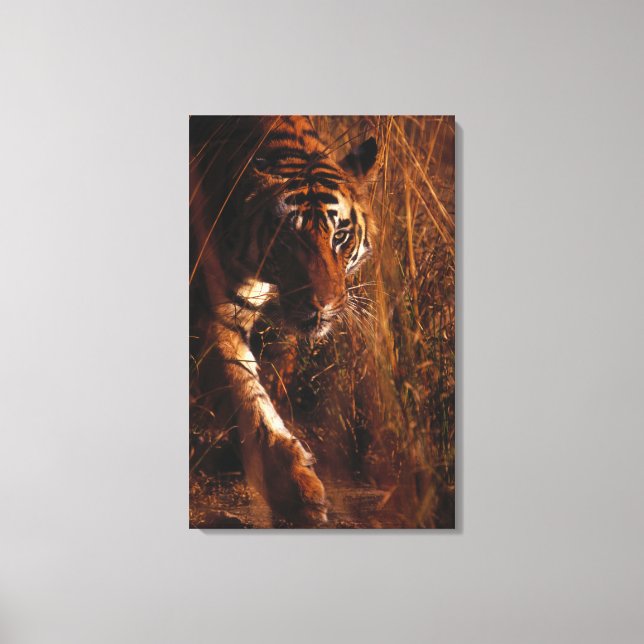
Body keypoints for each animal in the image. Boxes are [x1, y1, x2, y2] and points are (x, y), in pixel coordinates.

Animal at [190, 116, 378, 526]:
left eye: (340, 236)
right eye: (286, 238)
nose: (322, 305)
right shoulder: (214, 317)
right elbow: (247, 396)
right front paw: (297, 493)